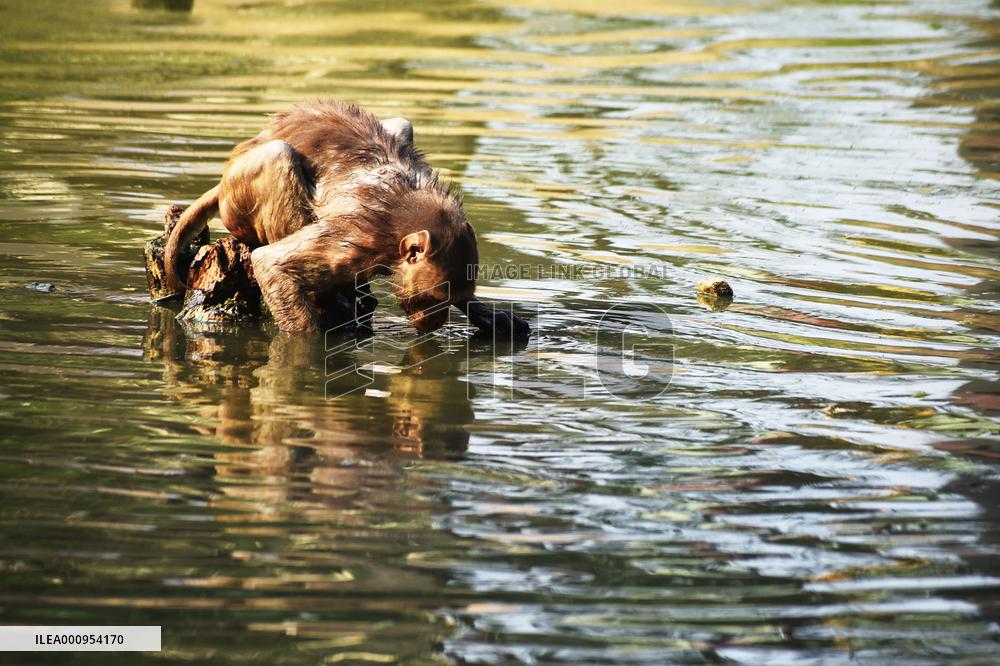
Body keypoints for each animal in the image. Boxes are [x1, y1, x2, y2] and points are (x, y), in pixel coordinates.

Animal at [164, 100, 528, 339]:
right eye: (435, 299)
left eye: (452, 300)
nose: (435, 323)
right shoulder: (356, 242)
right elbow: (271, 265)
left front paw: (487, 313)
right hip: (237, 198)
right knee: (279, 155)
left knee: (400, 124)